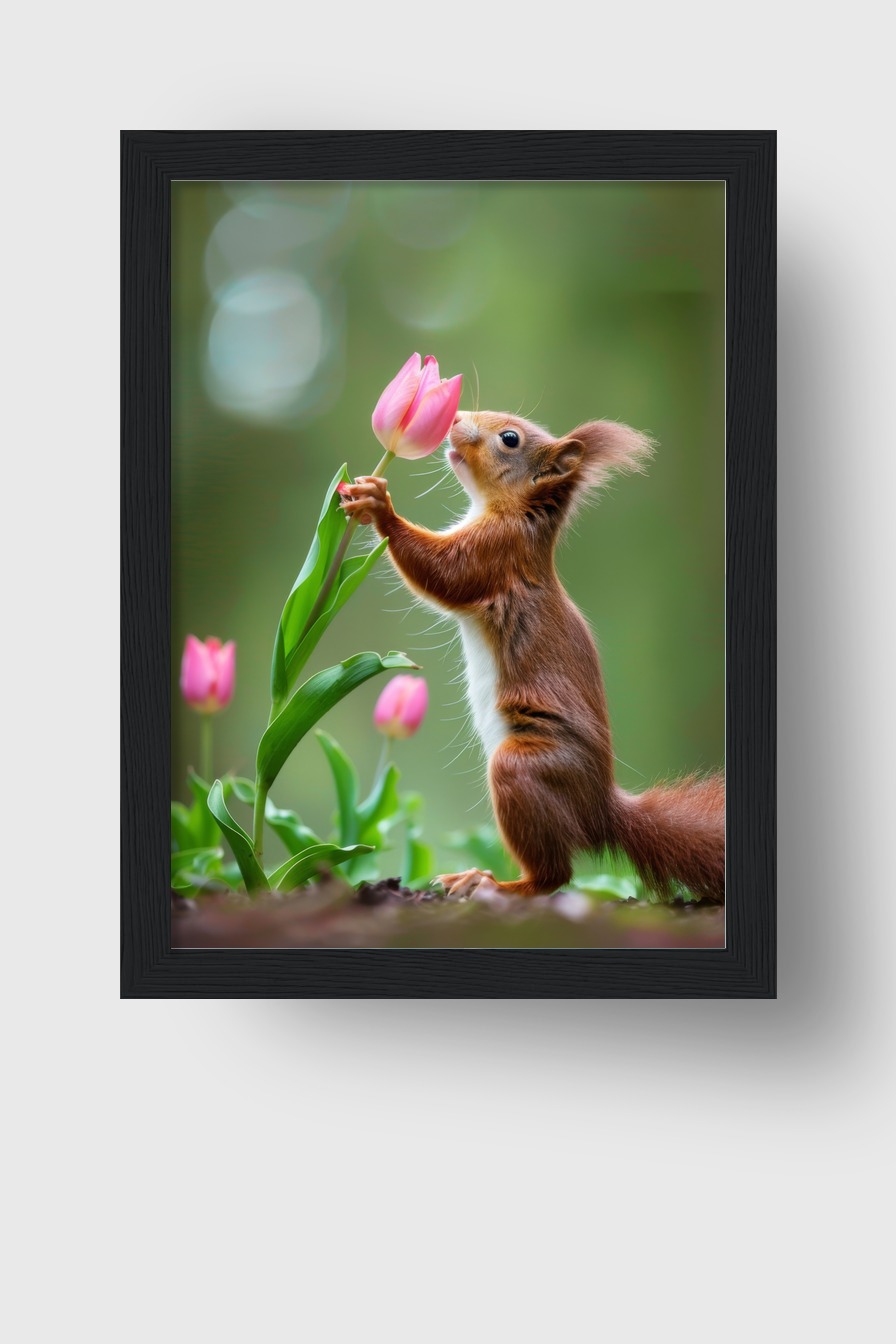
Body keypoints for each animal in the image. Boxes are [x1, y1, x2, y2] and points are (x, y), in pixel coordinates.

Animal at [339, 410, 725, 903]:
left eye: (510, 439)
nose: (457, 417)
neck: (515, 513)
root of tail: (600, 812)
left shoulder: (496, 552)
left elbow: (445, 571)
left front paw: (380, 507)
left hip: (524, 770)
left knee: (554, 876)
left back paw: (494, 884)